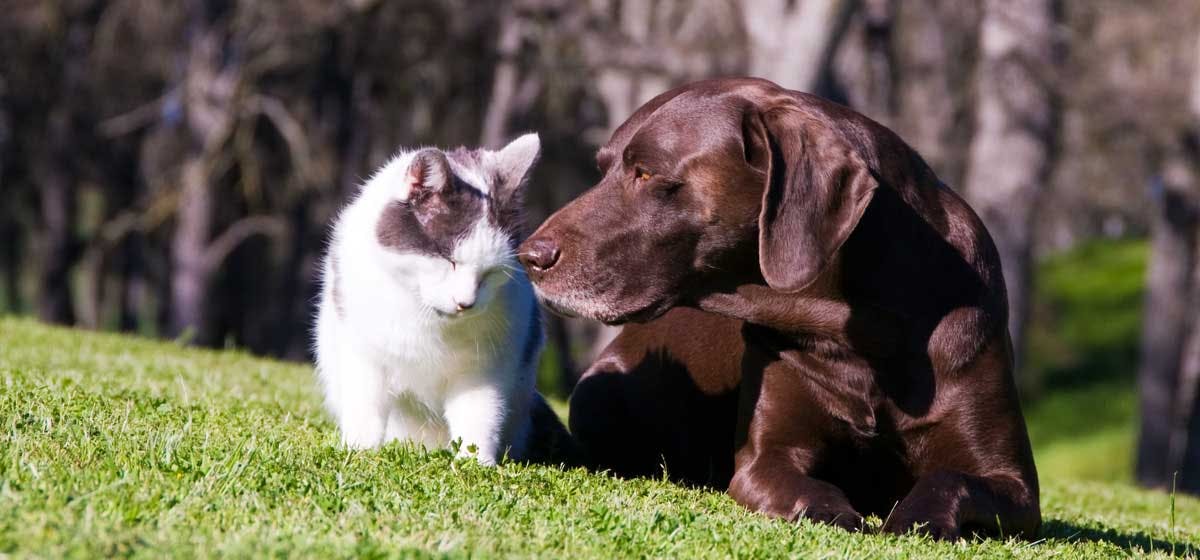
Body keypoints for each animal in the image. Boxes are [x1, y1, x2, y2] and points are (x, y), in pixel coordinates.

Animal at [312, 132, 549, 465]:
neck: (425, 317)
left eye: (490, 273)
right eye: (449, 260)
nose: (466, 303)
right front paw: (359, 452)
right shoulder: (364, 354)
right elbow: (365, 407)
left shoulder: (485, 370)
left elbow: (479, 416)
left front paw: (477, 465)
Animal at [520, 77, 1036, 539]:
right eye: (602, 169)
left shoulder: (1015, 484)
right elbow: (809, 490)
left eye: (645, 172)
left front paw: (916, 520)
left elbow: (951, 479)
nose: (529, 256)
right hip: (596, 395)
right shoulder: (765, 460)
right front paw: (836, 514)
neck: (861, 334)